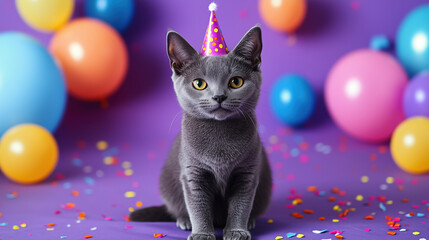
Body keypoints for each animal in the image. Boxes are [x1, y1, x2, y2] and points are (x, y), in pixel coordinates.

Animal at [129, 26, 272, 240]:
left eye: (236, 82)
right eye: (199, 84)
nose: (219, 96)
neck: (220, 134)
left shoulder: (247, 172)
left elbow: (241, 204)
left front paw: (237, 230)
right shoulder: (193, 174)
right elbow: (198, 206)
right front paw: (202, 233)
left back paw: (250, 221)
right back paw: (184, 220)